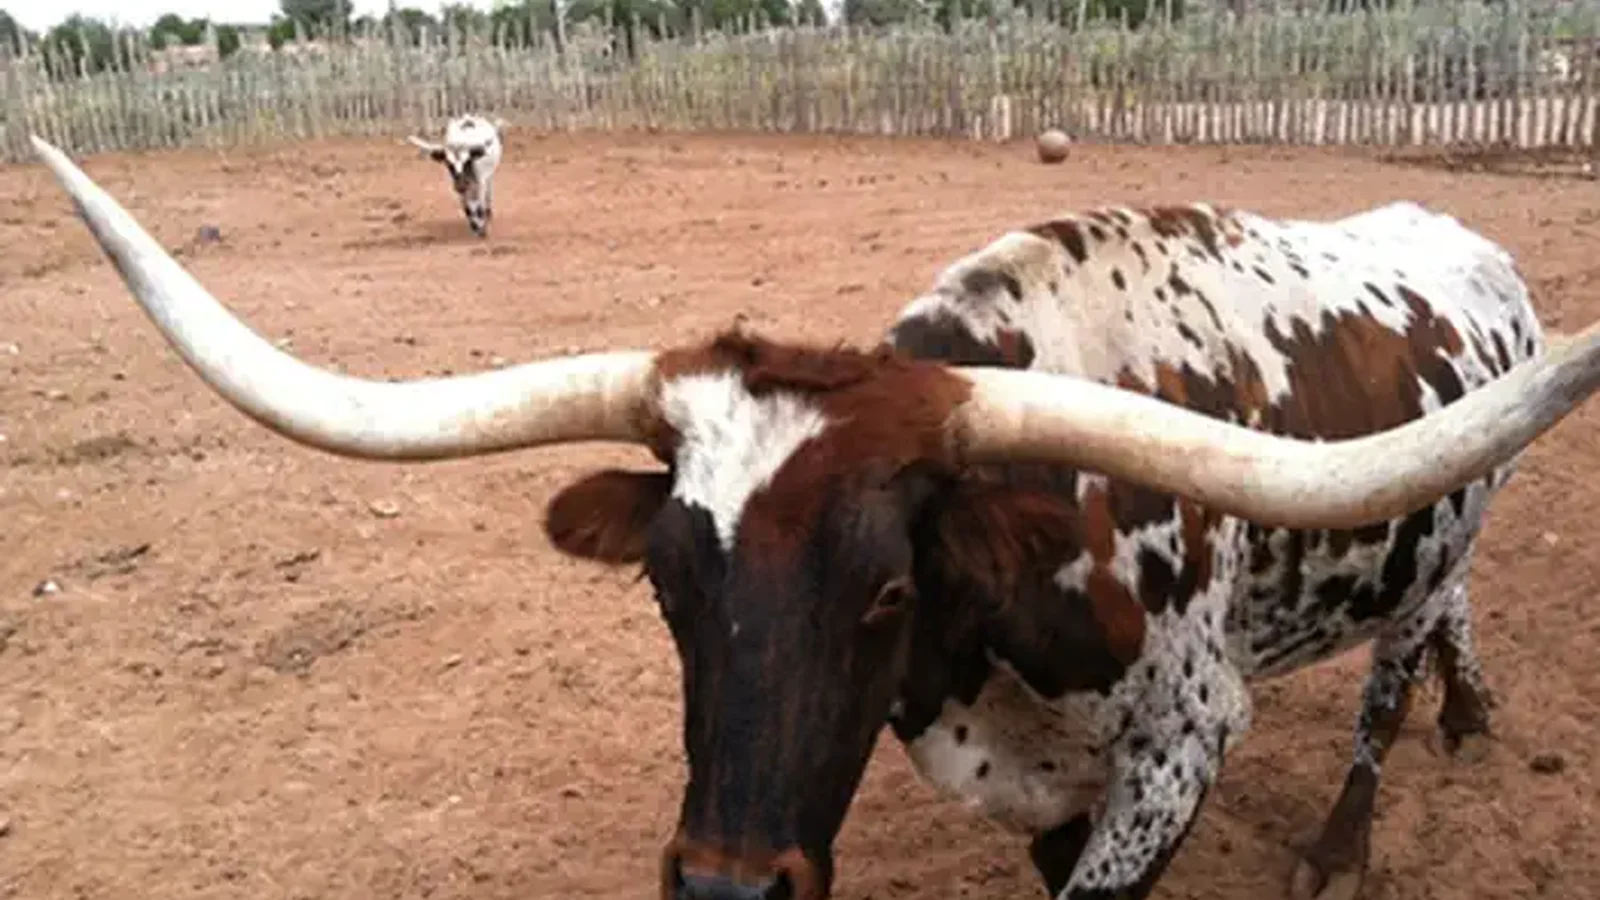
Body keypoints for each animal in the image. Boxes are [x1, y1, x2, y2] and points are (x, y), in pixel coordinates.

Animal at [29, 134, 1600, 900]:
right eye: (666, 589)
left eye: (887, 591)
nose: (730, 893)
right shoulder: (1049, 786)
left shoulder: (1180, 746)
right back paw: (1468, 709)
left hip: (1440, 537)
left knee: (1398, 656)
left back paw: (1353, 827)